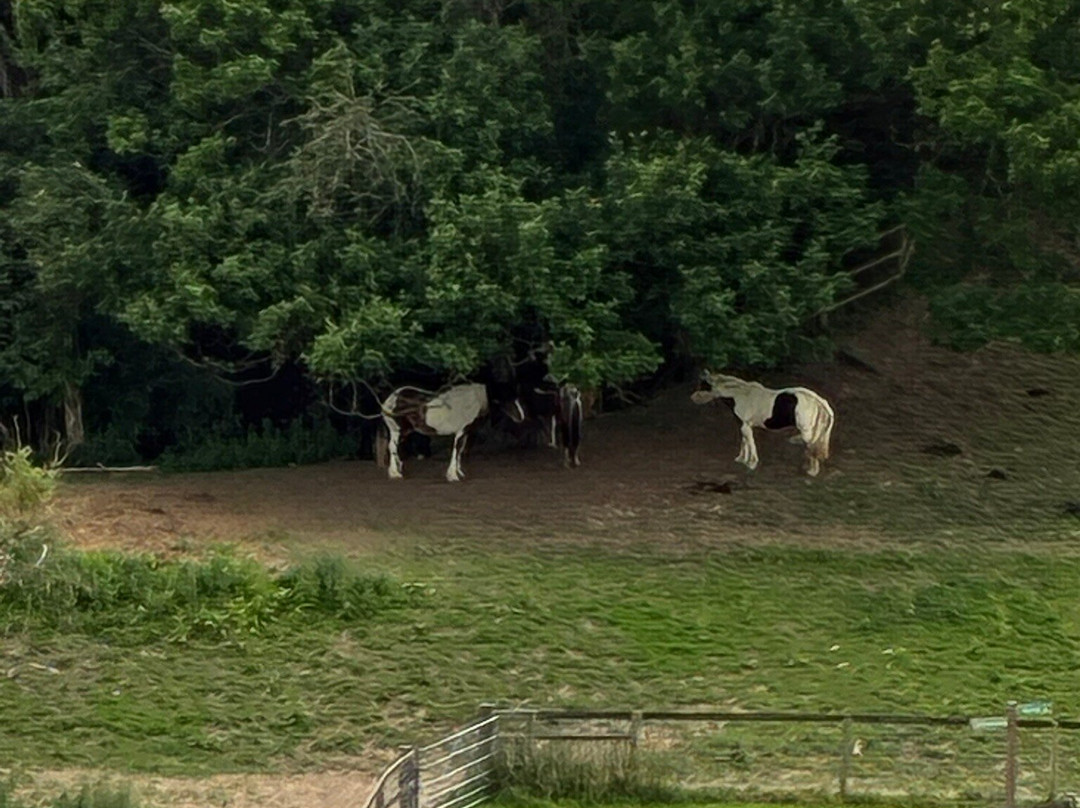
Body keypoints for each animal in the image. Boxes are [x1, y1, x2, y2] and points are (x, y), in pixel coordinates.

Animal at [381, 381, 525, 482]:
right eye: (507, 399)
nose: (521, 417)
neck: (471, 403)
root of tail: (390, 400)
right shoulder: (460, 432)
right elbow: (456, 451)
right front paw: (453, 475)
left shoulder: (465, 433)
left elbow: (460, 451)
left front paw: (459, 473)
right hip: (397, 430)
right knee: (392, 446)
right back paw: (395, 473)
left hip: (402, 431)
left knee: (395, 447)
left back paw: (398, 469)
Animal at [691, 370, 835, 477]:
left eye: (703, 386)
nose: (692, 398)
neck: (738, 395)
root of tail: (819, 401)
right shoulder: (743, 426)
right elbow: (744, 443)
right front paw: (741, 459)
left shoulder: (746, 426)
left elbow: (751, 444)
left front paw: (752, 464)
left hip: (806, 433)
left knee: (812, 448)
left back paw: (812, 471)